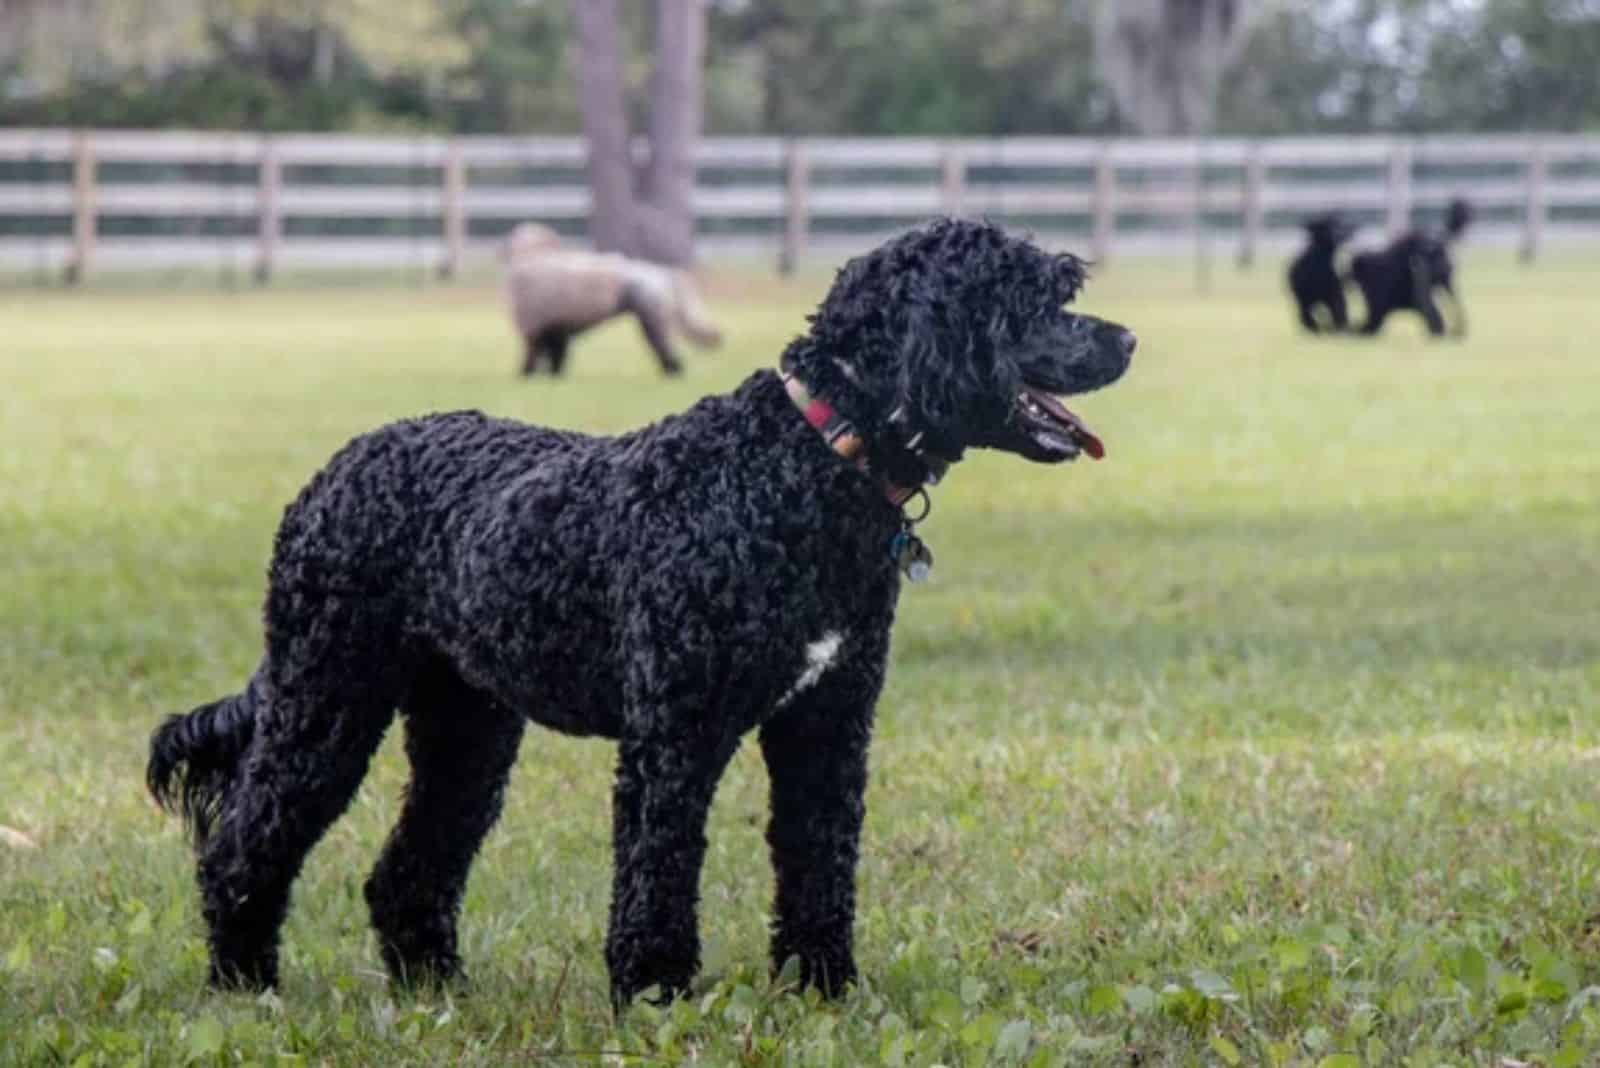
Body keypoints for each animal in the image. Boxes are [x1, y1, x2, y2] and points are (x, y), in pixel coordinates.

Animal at [144, 219, 1132, 1010]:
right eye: (1038, 298)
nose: (1127, 336)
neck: (804, 464)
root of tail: (335, 470)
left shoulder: (826, 725)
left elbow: (819, 863)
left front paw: (824, 991)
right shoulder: (676, 736)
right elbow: (659, 871)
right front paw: (655, 996)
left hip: (466, 726)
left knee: (407, 873)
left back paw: (438, 992)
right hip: (327, 698)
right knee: (244, 846)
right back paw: (245, 987)